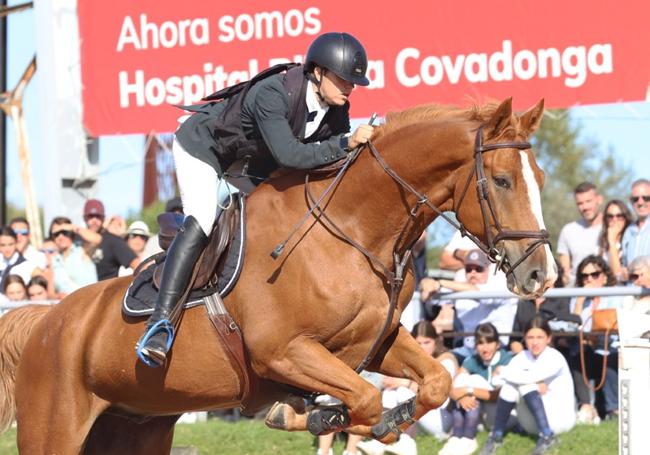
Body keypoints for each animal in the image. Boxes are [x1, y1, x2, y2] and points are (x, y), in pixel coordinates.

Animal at [2, 98, 556, 454]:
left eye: (541, 178)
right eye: (502, 181)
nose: (539, 276)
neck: (353, 231)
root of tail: (44, 322)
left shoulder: (374, 343)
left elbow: (435, 382)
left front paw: (383, 422)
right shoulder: (285, 352)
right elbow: (365, 397)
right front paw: (305, 413)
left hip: (137, 428)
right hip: (54, 429)